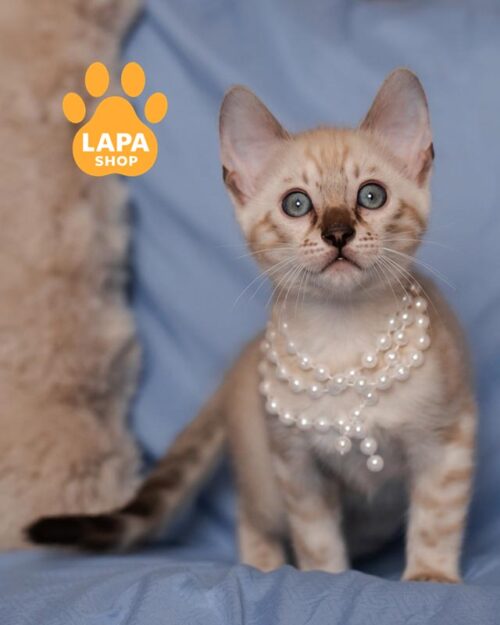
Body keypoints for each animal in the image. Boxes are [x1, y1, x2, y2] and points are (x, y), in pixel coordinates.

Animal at [27, 68, 476, 583]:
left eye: (371, 196)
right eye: (297, 204)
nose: (337, 233)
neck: (344, 338)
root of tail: (239, 361)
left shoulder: (447, 440)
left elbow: (437, 518)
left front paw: (430, 576)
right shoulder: (297, 466)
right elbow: (317, 538)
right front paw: (327, 579)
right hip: (266, 479)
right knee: (250, 515)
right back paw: (262, 565)